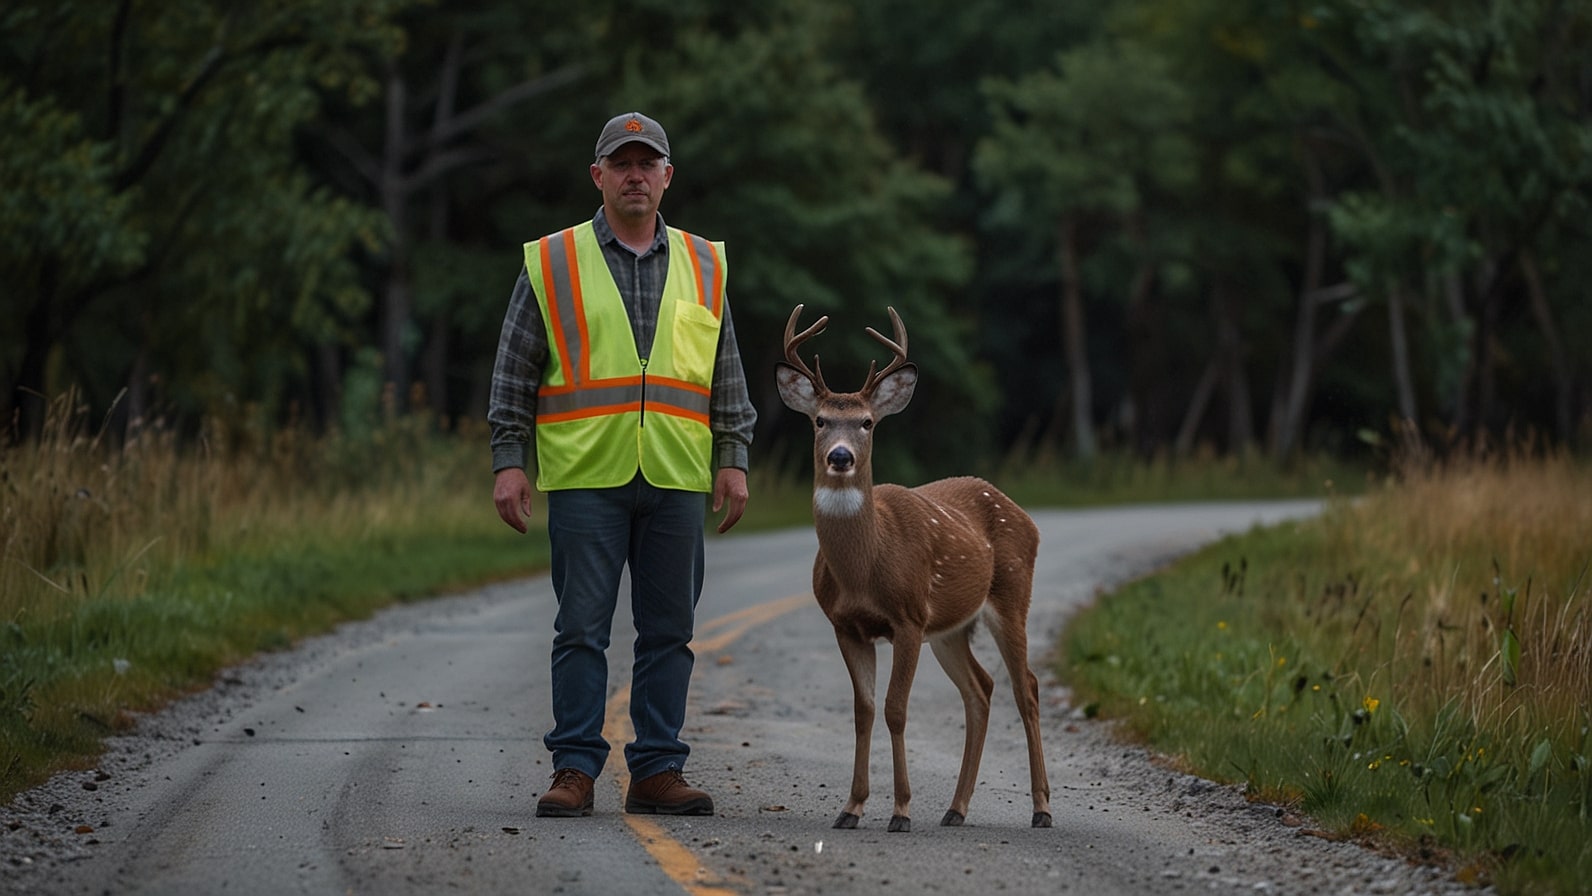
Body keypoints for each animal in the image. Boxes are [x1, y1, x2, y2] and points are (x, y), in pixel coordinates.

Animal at [775, 304, 1052, 833]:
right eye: (819, 421)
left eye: (866, 422)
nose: (839, 457)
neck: (864, 571)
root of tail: (1024, 514)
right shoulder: (847, 626)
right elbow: (863, 711)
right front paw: (851, 808)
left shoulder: (907, 618)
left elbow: (896, 709)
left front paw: (900, 811)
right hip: (949, 627)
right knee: (981, 689)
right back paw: (955, 808)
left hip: (1012, 596)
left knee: (1025, 687)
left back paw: (1042, 808)